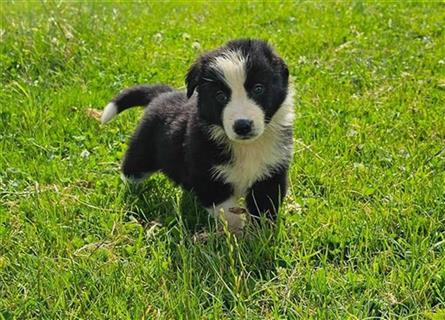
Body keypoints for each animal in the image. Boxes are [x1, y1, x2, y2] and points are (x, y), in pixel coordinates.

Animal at [102, 38, 294, 231]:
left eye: (258, 89)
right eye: (220, 96)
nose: (242, 126)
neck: (245, 147)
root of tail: (164, 93)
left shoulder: (271, 174)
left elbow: (264, 209)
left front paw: (261, 233)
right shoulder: (208, 177)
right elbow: (228, 212)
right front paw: (236, 233)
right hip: (143, 149)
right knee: (132, 168)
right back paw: (129, 190)